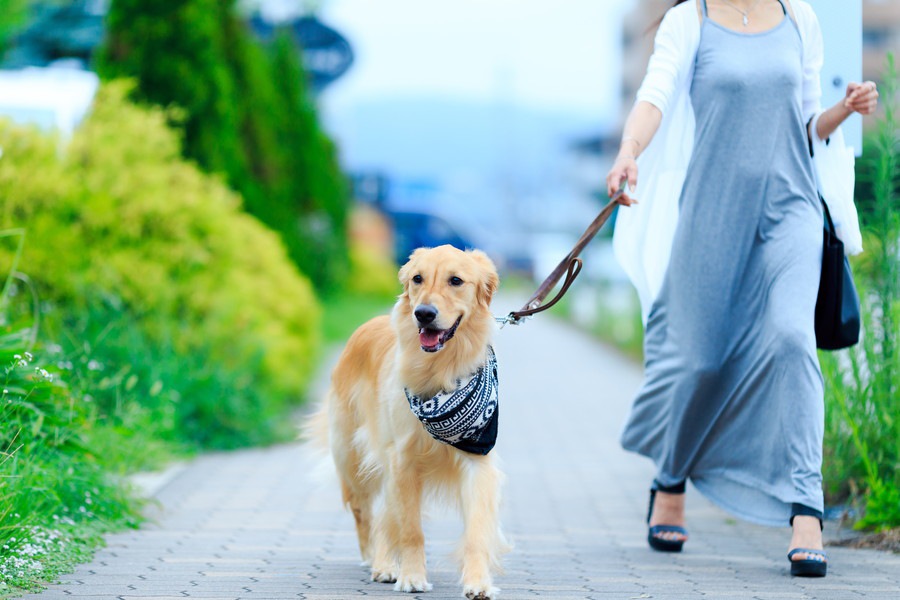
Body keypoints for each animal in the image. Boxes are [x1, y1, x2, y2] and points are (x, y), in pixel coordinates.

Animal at [308, 245, 506, 600]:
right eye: (417, 278)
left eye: (456, 280)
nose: (423, 313)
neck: (441, 373)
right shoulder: (403, 459)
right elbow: (411, 530)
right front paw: (412, 577)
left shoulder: (478, 458)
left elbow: (477, 529)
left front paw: (478, 582)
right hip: (352, 460)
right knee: (365, 514)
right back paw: (378, 561)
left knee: (386, 515)